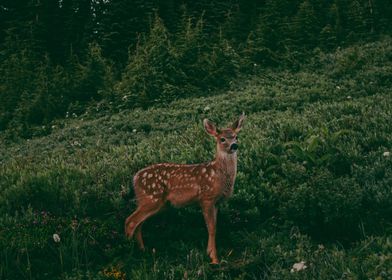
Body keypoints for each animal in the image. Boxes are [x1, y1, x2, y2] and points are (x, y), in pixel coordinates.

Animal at [124, 112, 245, 264]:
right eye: (222, 139)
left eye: (236, 136)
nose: (234, 145)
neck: (218, 175)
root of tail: (135, 178)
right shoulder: (206, 198)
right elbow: (211, 228)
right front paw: (214, 259)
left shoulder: (216, 202)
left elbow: (215, 226)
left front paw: (209, 252)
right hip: (151, 198)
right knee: (130, 221)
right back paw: (129, 252)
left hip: (153, 202)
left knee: (138, 223)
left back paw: (142, 250)